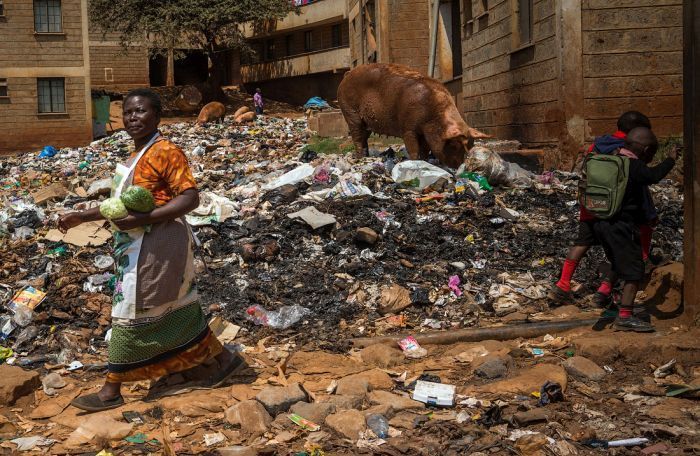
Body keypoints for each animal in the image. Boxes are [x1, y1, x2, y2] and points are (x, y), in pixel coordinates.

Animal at [338, 63, 490, 168]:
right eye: (454, 145)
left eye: (471, 145)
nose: (458, 168)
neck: (434, 117)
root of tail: (347, 74)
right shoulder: (408, 128)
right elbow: (413, 148)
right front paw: (416, 162)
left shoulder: (426, 133)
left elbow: (425, 149)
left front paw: (425, 162)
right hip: (350, 111)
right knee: (357, 136)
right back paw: (360, 158)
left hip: (365, 122)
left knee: (364, 137)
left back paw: (366, 156)